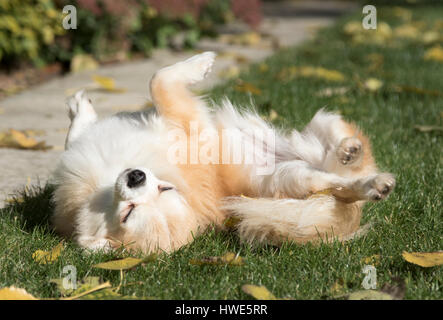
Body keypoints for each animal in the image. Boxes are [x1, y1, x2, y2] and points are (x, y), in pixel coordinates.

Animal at [51, 52, 396, 252]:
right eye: (129, 212)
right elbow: (157, 81)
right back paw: (371, 183)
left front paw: (79, 107)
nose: (136, 176)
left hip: (318, 127)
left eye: (164, 188)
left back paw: (348, 151)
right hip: (291, 179)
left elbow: (157, 79)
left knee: (338, 154)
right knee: (340, 185)